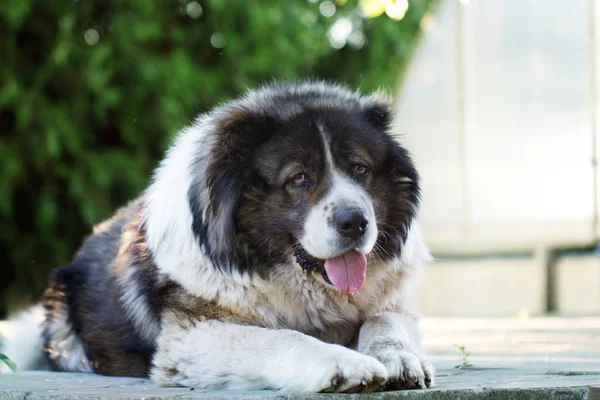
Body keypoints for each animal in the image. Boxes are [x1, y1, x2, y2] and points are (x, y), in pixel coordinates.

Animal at [3, 79, 436, 392]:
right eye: (299, 179)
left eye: (360, 169)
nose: (355, 222)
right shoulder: (190, 336)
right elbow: (280, 338)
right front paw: (345, 364)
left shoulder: (391, 303)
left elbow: (384, 321)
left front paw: (399, 358)